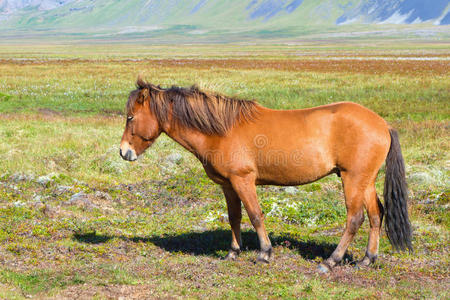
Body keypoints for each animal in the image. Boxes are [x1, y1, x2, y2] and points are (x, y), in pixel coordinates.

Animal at [119, 78, 412, 274]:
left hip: (352, 180)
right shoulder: (228, 185)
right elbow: (235, 217)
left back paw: (331, 261)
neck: (221, 130)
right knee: (376, 215)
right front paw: (233, 252)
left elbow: (255, 215)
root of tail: (382, 124)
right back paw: (367, 259)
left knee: (355, 218)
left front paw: (264, 253)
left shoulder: (243, 180)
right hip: (364, 181)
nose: (123, 152)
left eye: (131, 117)